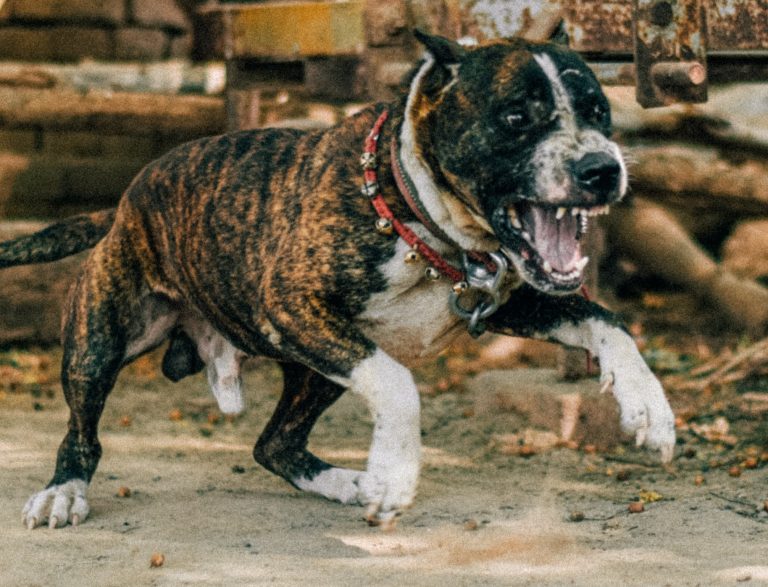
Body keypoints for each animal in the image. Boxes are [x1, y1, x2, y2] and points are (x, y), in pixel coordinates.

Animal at [0, 32, 672, 532]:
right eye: (515, 117)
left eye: (599, 112)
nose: (602, 168)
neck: (416, 214)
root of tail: (123, 205)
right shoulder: (291, 302)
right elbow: (399, 386)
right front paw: (396, 473)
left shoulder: (510, 298)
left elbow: (607, 320)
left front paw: (649, 407)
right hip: (101, 342)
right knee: (82, 432)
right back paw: (63, 492)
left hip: (316, 373)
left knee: (274, 444)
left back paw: (348, 481)